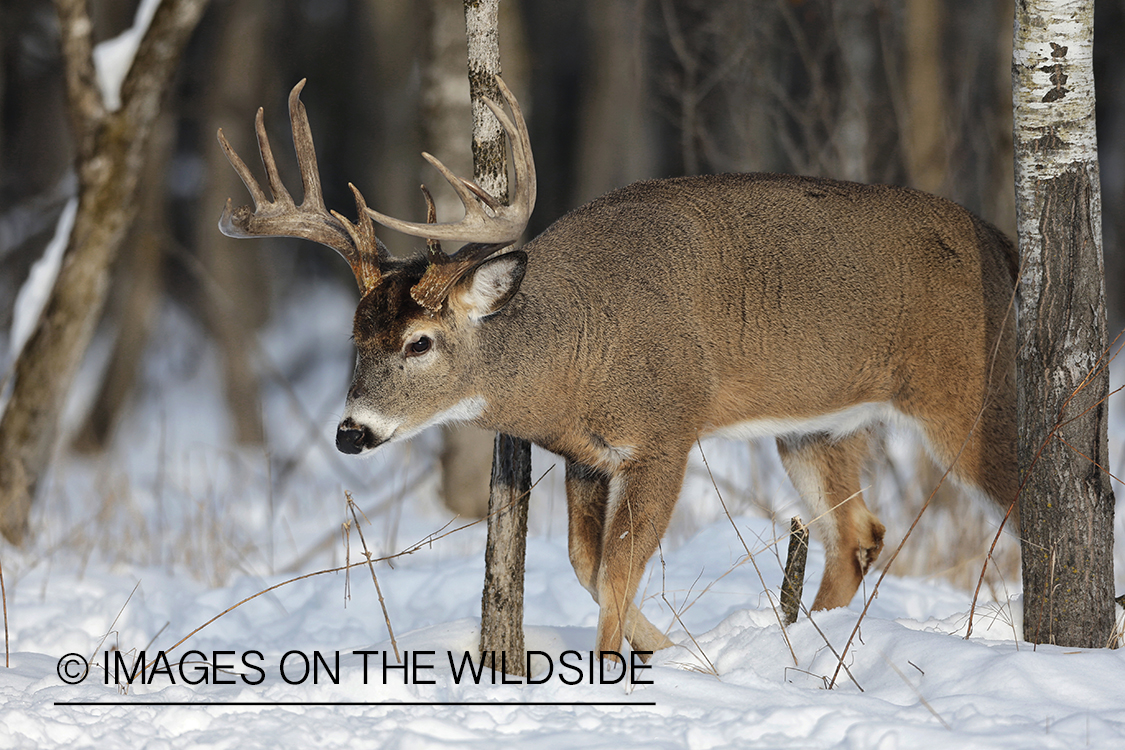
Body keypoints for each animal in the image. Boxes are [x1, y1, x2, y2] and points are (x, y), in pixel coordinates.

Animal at [217, 77, 1021, 661]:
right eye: (354, 337)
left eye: (419, 342)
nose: (351, 432)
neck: (577, 351)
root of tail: (1005, 245)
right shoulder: (585, 456)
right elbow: (585, 564)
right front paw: (676, 650)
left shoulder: (666, 433)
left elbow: (614, 569)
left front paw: (622, 668)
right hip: (816, 427)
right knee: (856, 535)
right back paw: (802, 643)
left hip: (967, 392)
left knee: (1031, 492)